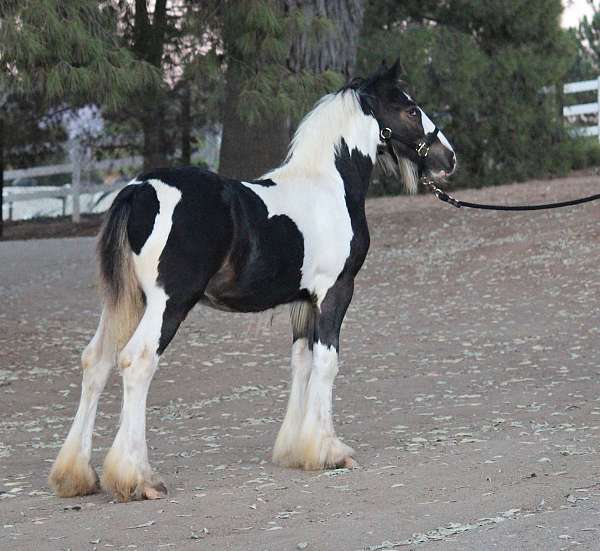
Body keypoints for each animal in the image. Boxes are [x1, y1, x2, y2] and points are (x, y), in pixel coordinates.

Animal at [49, 60, 454, 504]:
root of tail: (138, 191)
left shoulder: (303, 301)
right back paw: (138, 478)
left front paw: (296, 450)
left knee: (96, 361)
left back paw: (75, 475)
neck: (328, 186)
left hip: (126, 302)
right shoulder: (335, 291)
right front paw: (330, 452)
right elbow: (327, 361)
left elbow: (301, 361)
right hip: (167, 304)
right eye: (410, 109)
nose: (448, 158)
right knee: (137, 362)